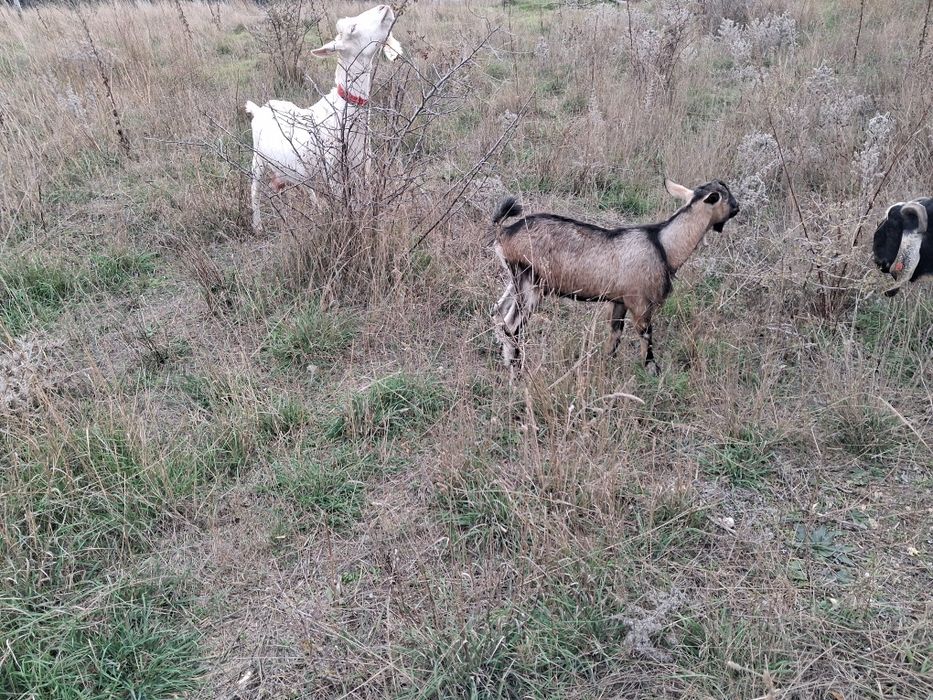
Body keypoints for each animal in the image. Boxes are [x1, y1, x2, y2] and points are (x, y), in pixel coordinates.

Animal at [244, 4, 403, 232]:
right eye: (352, 29)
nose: (384, 7)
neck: (342, 110)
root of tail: (259, 109)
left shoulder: (362, 163)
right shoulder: (333, 170)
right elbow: (341, 202)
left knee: (298, 184)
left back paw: (314, 207)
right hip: (257, 159)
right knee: (255, 189)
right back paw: (257, 225)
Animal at [489, 179, 739, 376]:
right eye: (726, 199)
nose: (737, 208)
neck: (663, 245)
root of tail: (505, 233)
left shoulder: (620, 301)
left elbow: (615, 336)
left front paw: (606, 365)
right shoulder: (640, 304)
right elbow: (646, 339)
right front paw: (653, 372)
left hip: (515, 281)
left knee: (498, 313)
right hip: (530, 285)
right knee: (512, 326)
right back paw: (517, 371)